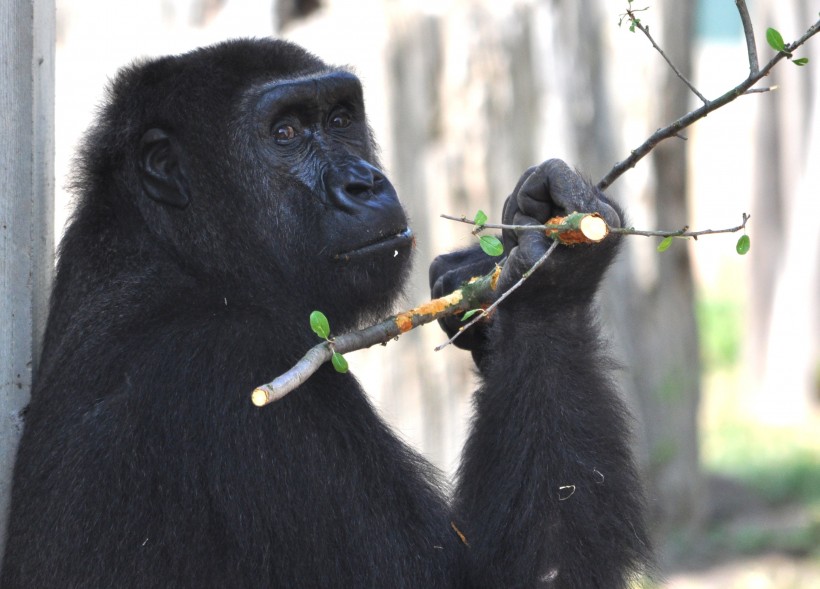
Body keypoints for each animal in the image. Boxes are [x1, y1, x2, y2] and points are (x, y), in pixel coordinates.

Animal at [1, 39, 652, 584]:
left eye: (340, 120)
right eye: (285, 132)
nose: (363, 183)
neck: (175, 252)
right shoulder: (236, 370)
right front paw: (553, 280)